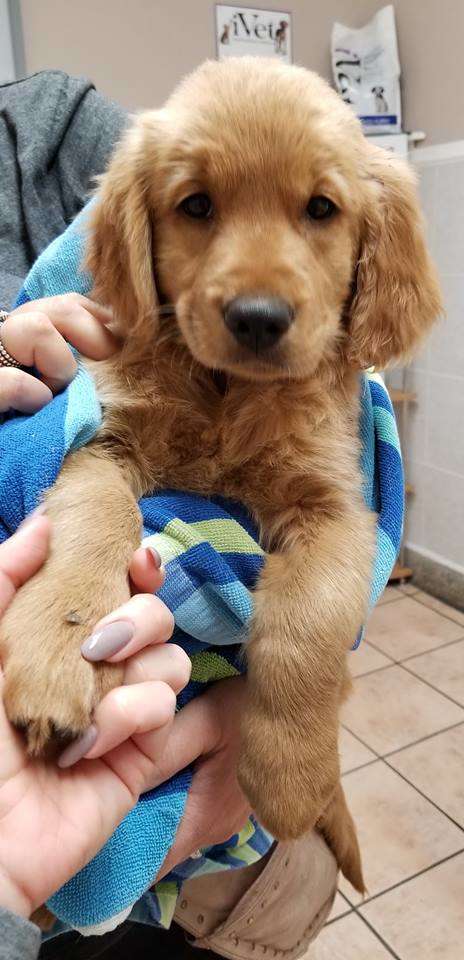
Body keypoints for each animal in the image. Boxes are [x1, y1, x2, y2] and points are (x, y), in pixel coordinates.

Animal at [0, 60, 442, 880]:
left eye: (322, 208)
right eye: (196, 204)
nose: (258, 318)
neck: (226, 396)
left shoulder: (337, 507)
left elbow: (308, 626)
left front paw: (293, 777)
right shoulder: (104, 446)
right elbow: (97, 524)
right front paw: (62, 647)